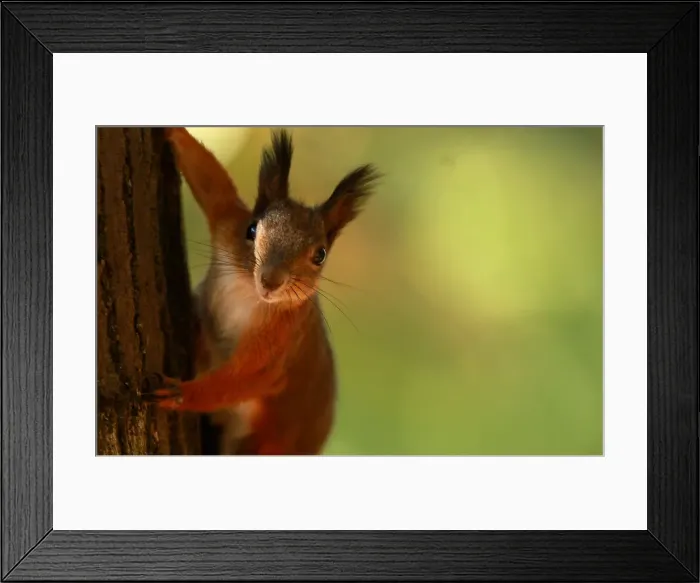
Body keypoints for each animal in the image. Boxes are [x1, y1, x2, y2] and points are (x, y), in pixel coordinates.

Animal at [142, 127, 381, 455]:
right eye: (252, 229)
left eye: (320, 255)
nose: (271, 280)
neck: (248, 292)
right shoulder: (227, 224)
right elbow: (211, 180)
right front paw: (172, 131)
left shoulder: (281, 339)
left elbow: (244, 377)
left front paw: (180, 393)